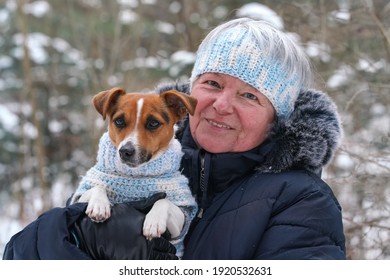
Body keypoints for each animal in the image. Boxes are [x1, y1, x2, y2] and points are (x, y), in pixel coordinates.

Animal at [71, 88, 197, 242]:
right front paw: (99, 205)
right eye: (119, 121)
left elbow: (164, 201)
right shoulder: (78, 198)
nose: (126, 151)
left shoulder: (181, 220)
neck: (135, 175)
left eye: (153, 123)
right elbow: (97, 187)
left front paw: (154, 222)